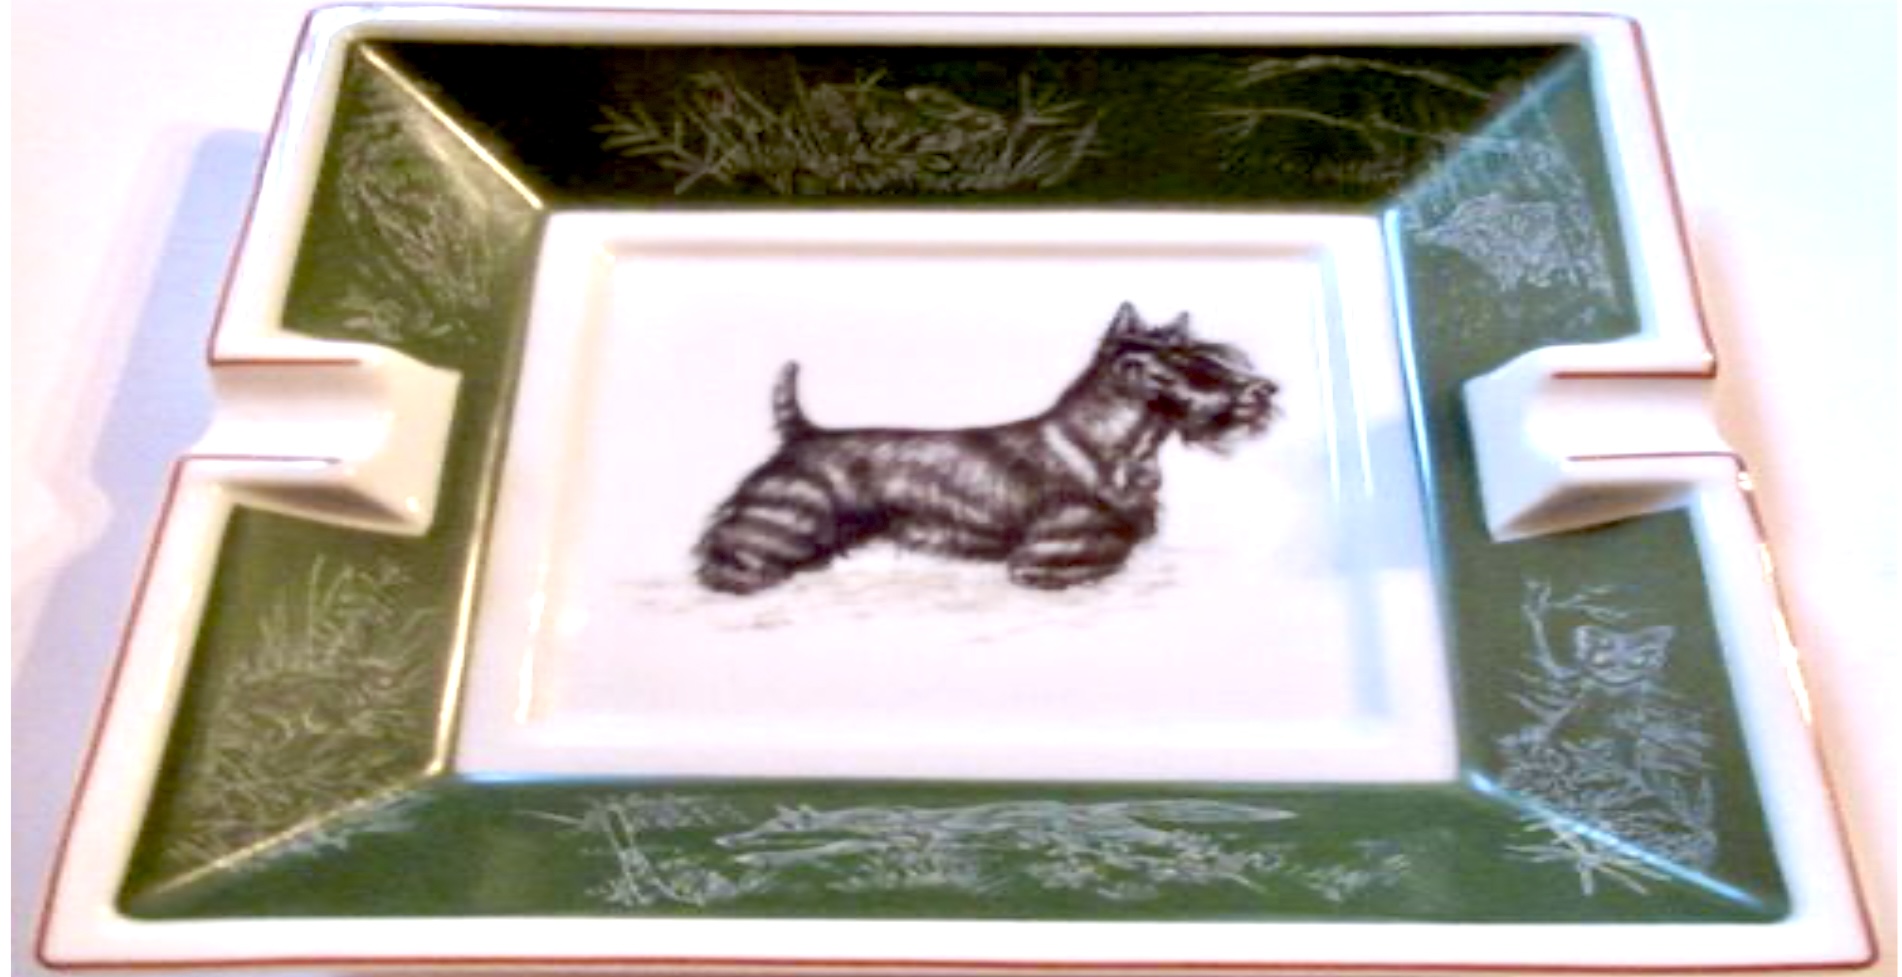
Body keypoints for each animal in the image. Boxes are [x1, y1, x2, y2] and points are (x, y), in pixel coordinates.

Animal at [695, 302, 1279, 594]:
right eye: (1180, 358)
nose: (1263, 390)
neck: (1114, 441)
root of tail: (801, 432)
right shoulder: (1066, 533)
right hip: (782, 511)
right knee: (738, 543)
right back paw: (739, 578)